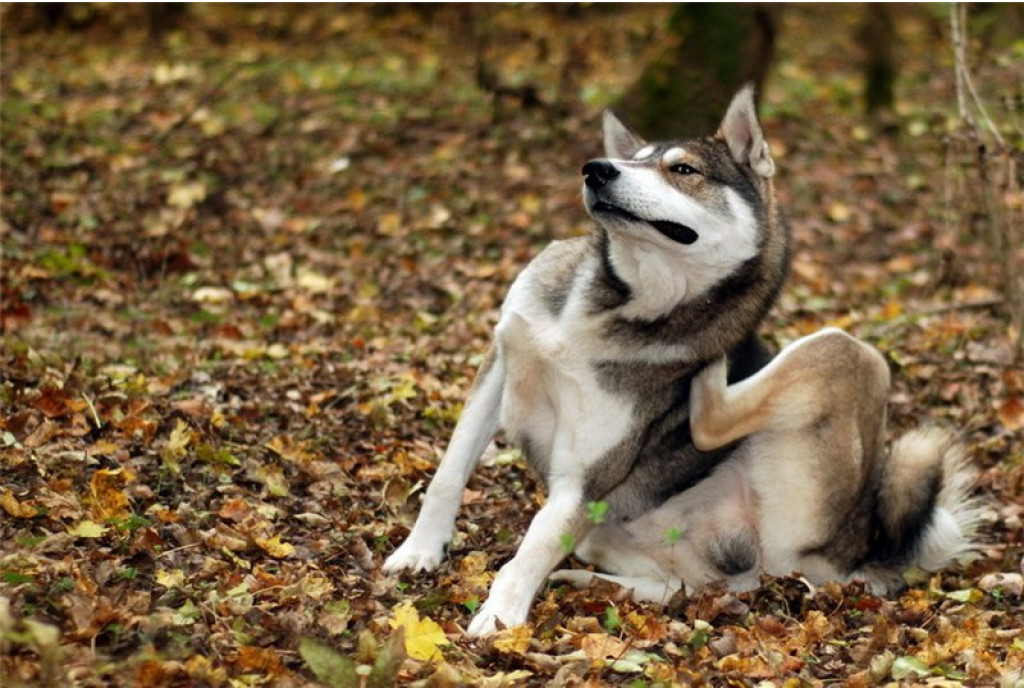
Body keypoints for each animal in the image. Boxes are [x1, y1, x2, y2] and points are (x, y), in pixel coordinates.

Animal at [382, 84, 974, 634]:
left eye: (683, 169)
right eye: (633, 160)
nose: (596, 170)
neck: (615, 304)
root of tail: (856, 548)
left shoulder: (584, 480)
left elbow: (533, 545)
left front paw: (502, 614)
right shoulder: (501, 362)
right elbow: (449, 473)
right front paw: (420, 550)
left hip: (849, 353)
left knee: (715, 422)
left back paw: (711, 371)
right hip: (628, 540)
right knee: (684, 587)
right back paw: (586, 580)